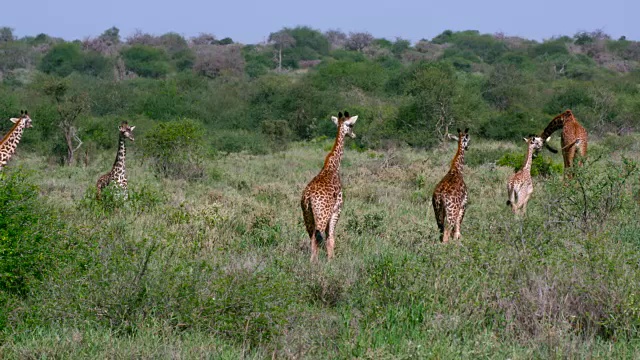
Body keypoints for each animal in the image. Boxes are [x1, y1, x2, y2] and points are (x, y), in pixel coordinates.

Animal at [302, 110, 358, 262]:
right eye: (351, 125)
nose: (354, 135)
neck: (332, 168)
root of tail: (307, 197)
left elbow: (328, 238)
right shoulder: (336, 210)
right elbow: (331, 238)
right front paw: (331, 261)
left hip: (307, 216)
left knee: (311, 237)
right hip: (321, 216)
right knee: (316, 238)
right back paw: (314, 263)